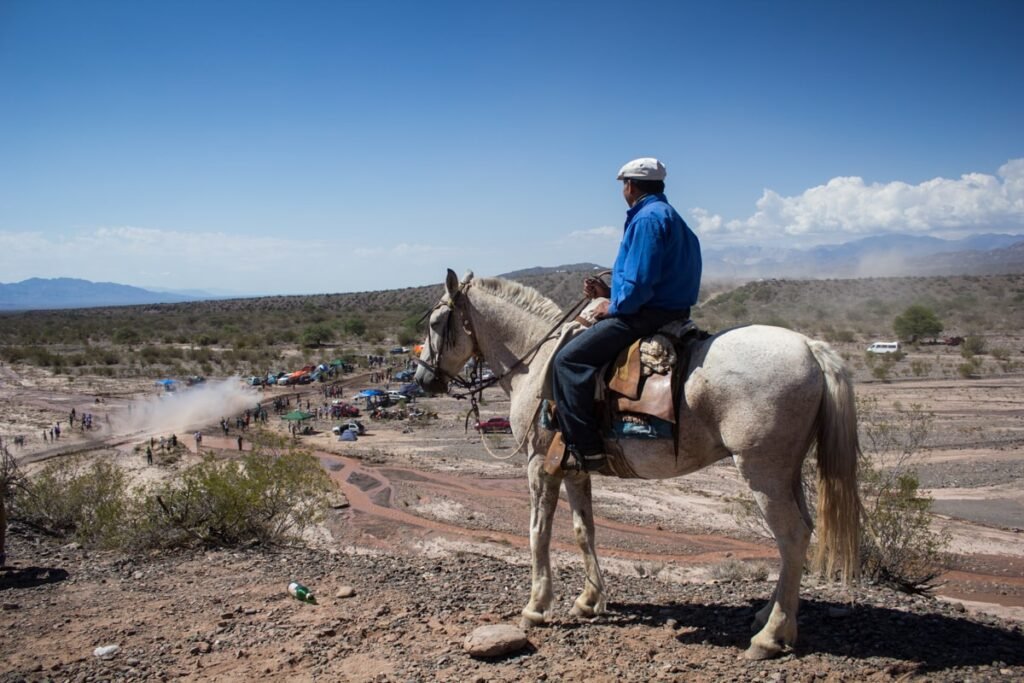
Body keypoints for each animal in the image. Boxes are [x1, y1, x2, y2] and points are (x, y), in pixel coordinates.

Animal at [411, 270, 860, 659]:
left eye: (435, 322)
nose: (421, 380)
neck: (535, 364)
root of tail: (811, 348)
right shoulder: (573, 467)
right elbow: (584, 530)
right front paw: (588, 601)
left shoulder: (540, 465)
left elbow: (538, 533)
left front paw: (536, 606)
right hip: (788, 472)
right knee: (800, 534)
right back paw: (769, 615)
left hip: (762, 472)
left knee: (792, 536)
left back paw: (770, 636)